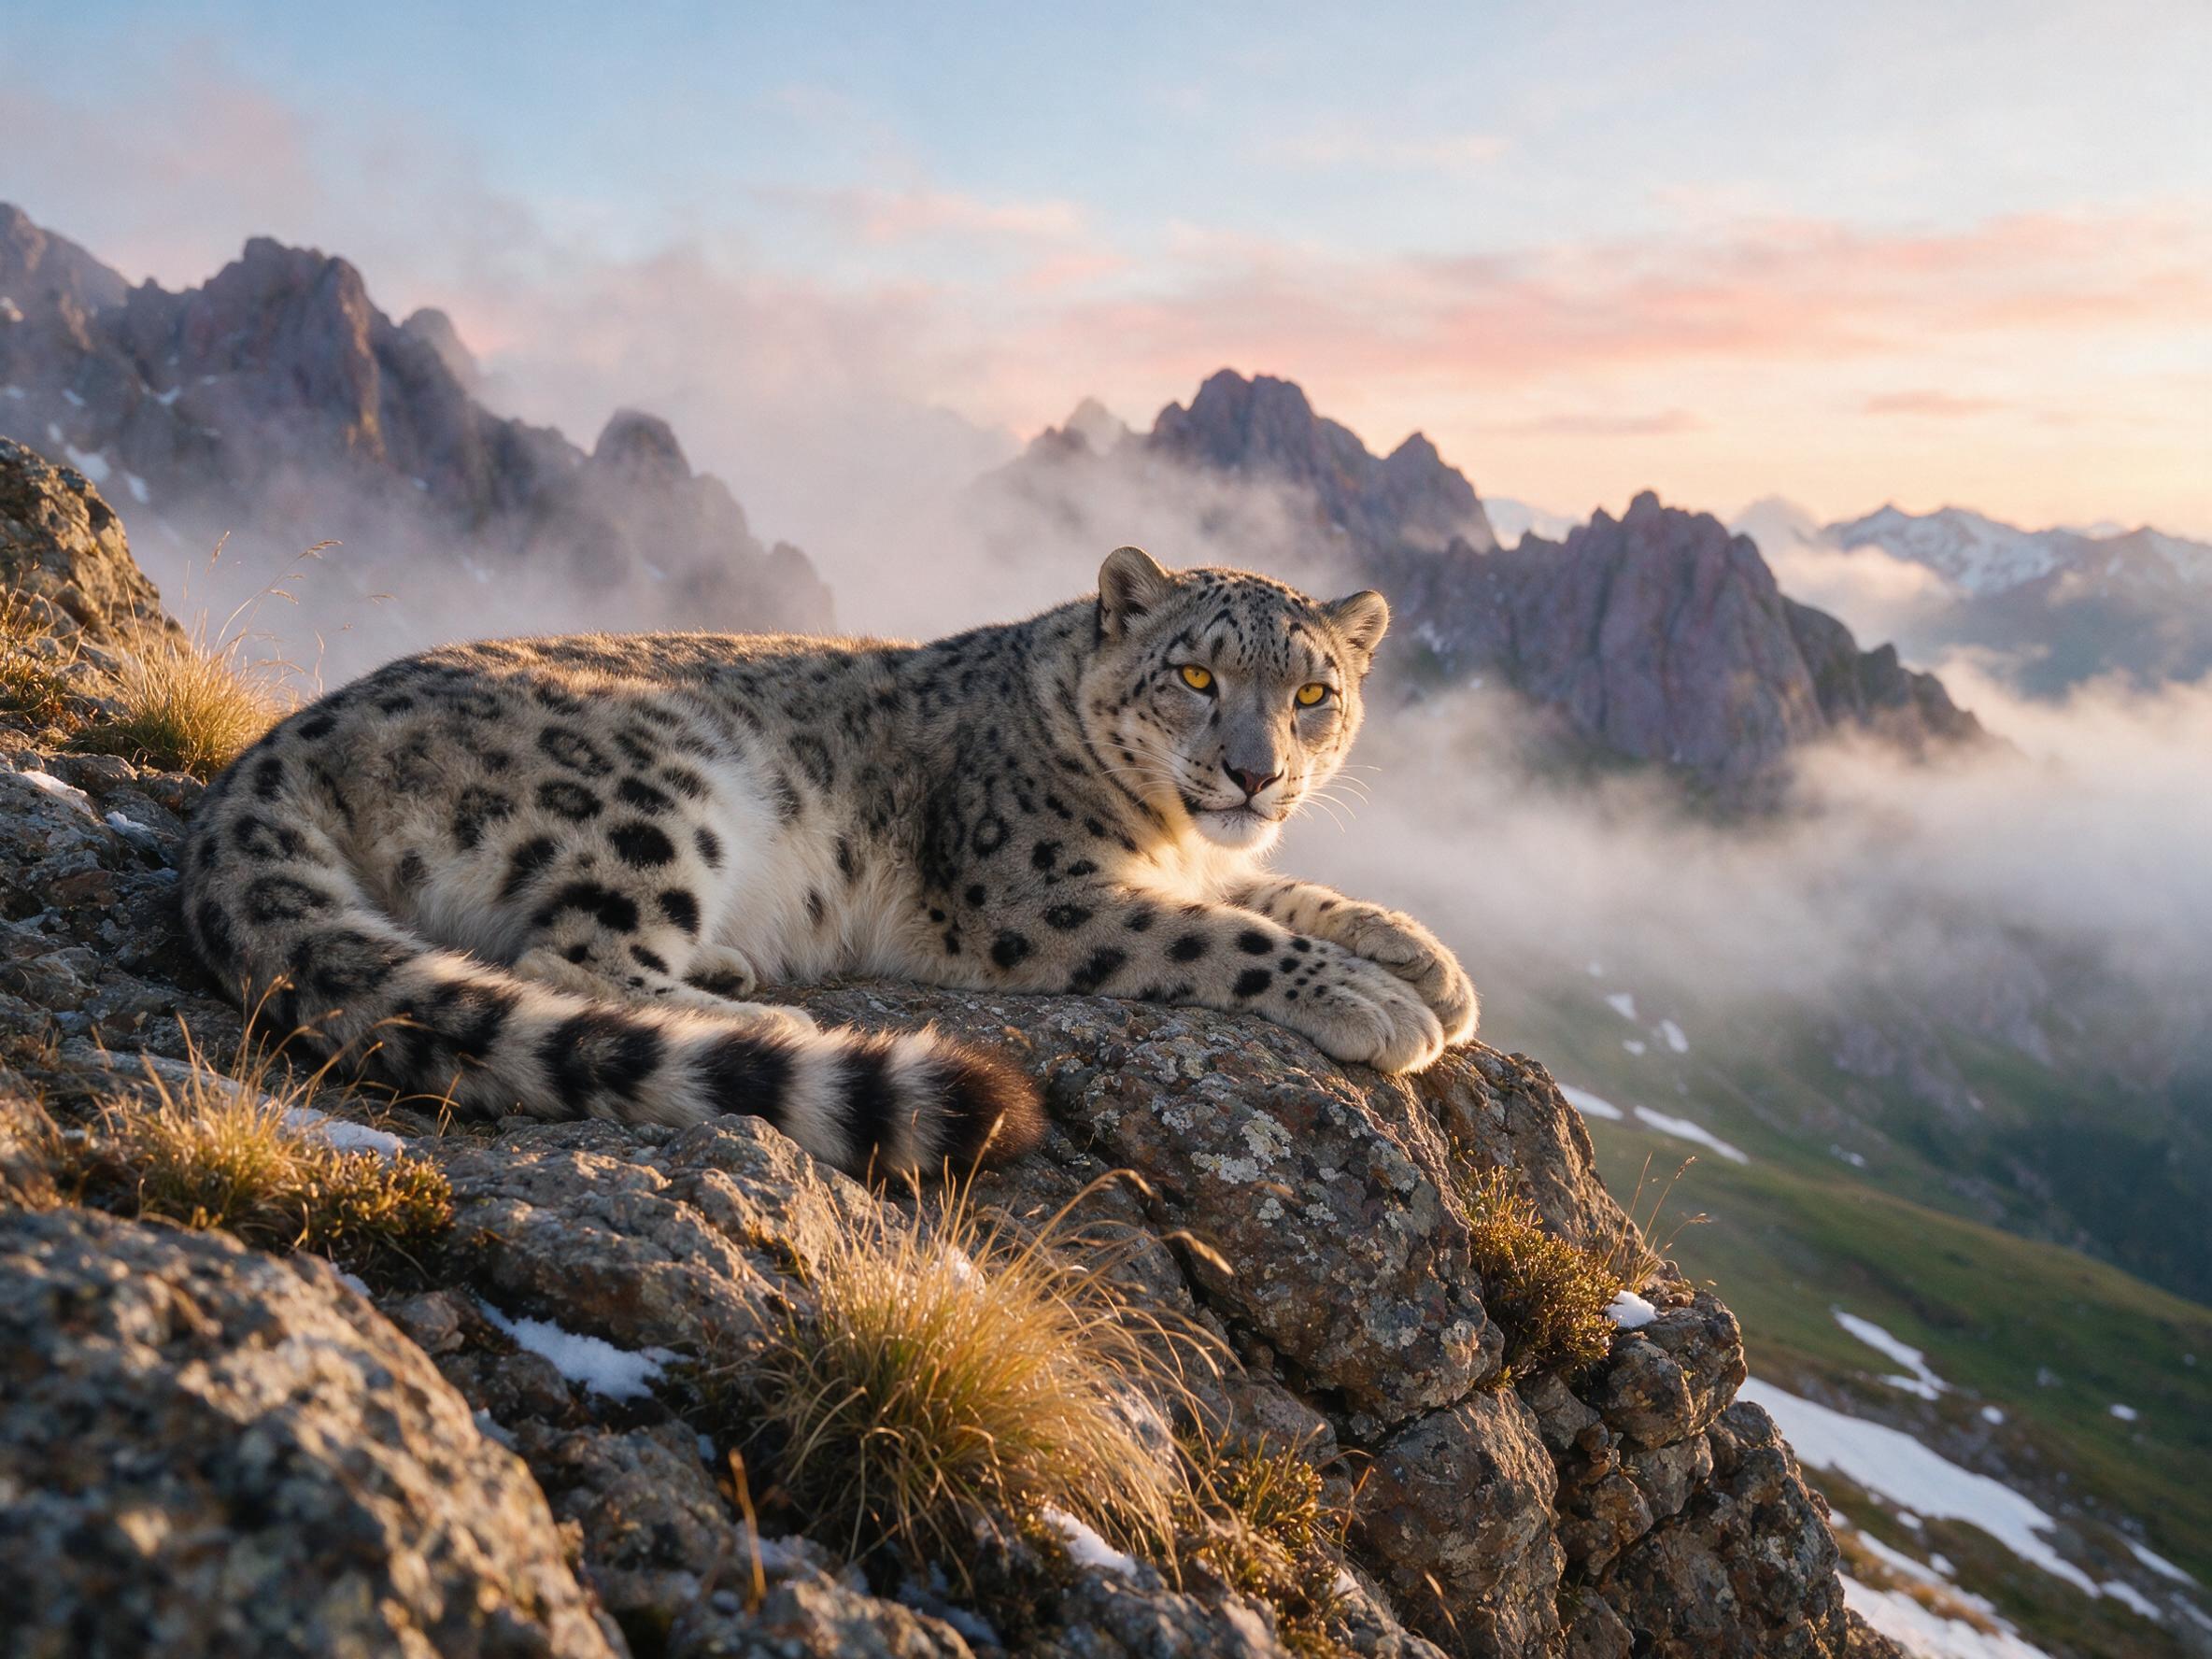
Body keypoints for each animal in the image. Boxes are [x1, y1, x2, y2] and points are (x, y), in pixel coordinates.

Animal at [179, 546, 1478, 1178]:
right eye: (1196, 675)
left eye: (1312, 694)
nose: (1254, 775)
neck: (1159, 829)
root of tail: (284, 740)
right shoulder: (1030, 893)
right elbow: (1227, 931)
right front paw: (1375, 1005)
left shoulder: (1189, 858)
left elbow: (1280, 892)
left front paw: (1431, 968)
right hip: (654, 790)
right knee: (568, 952)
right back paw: (768, 1020)